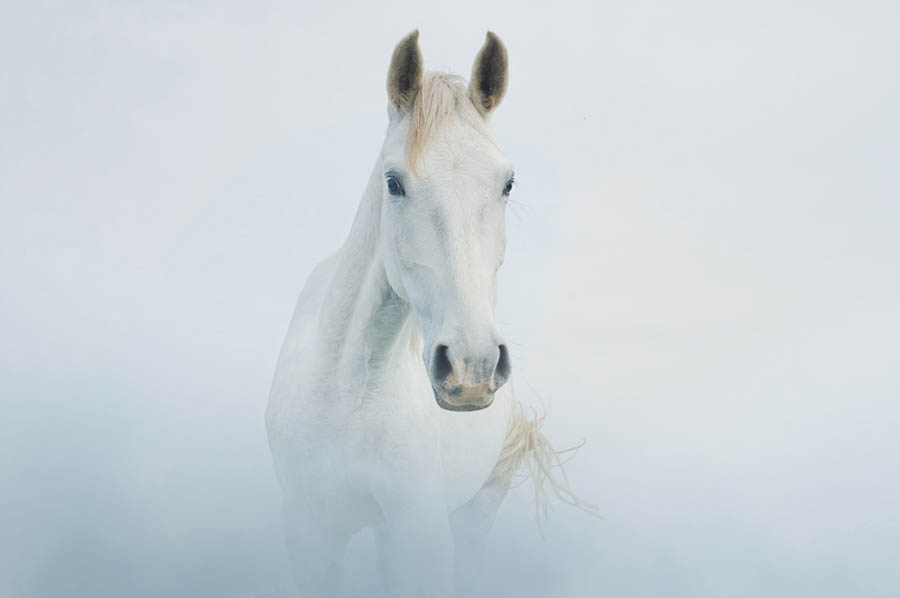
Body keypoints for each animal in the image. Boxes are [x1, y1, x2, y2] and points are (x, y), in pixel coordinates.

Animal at [268, 30, 592, 596]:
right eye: (394, 182)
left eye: (507, 183)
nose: (471, 367)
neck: (346, 397)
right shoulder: (309, 533)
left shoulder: (419, 534)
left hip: (474, 512)